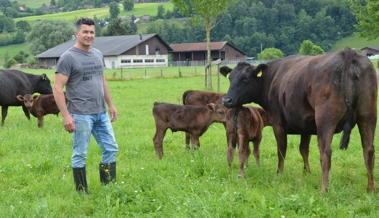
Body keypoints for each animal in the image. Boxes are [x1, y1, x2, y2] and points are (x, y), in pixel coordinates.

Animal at [221, 48, 378, 192]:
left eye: (245, 79)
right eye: (230, 78)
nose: (226, 100)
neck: (271, 79)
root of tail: (347, 52)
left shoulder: (278, 123)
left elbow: (281, 149)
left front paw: (279, 173)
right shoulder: (305, 125)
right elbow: (304, 149)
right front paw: (307, 172)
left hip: (326, 120)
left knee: (326, 152)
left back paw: (323, 189)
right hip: (368, 116)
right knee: (369, 150)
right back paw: (371, 189)